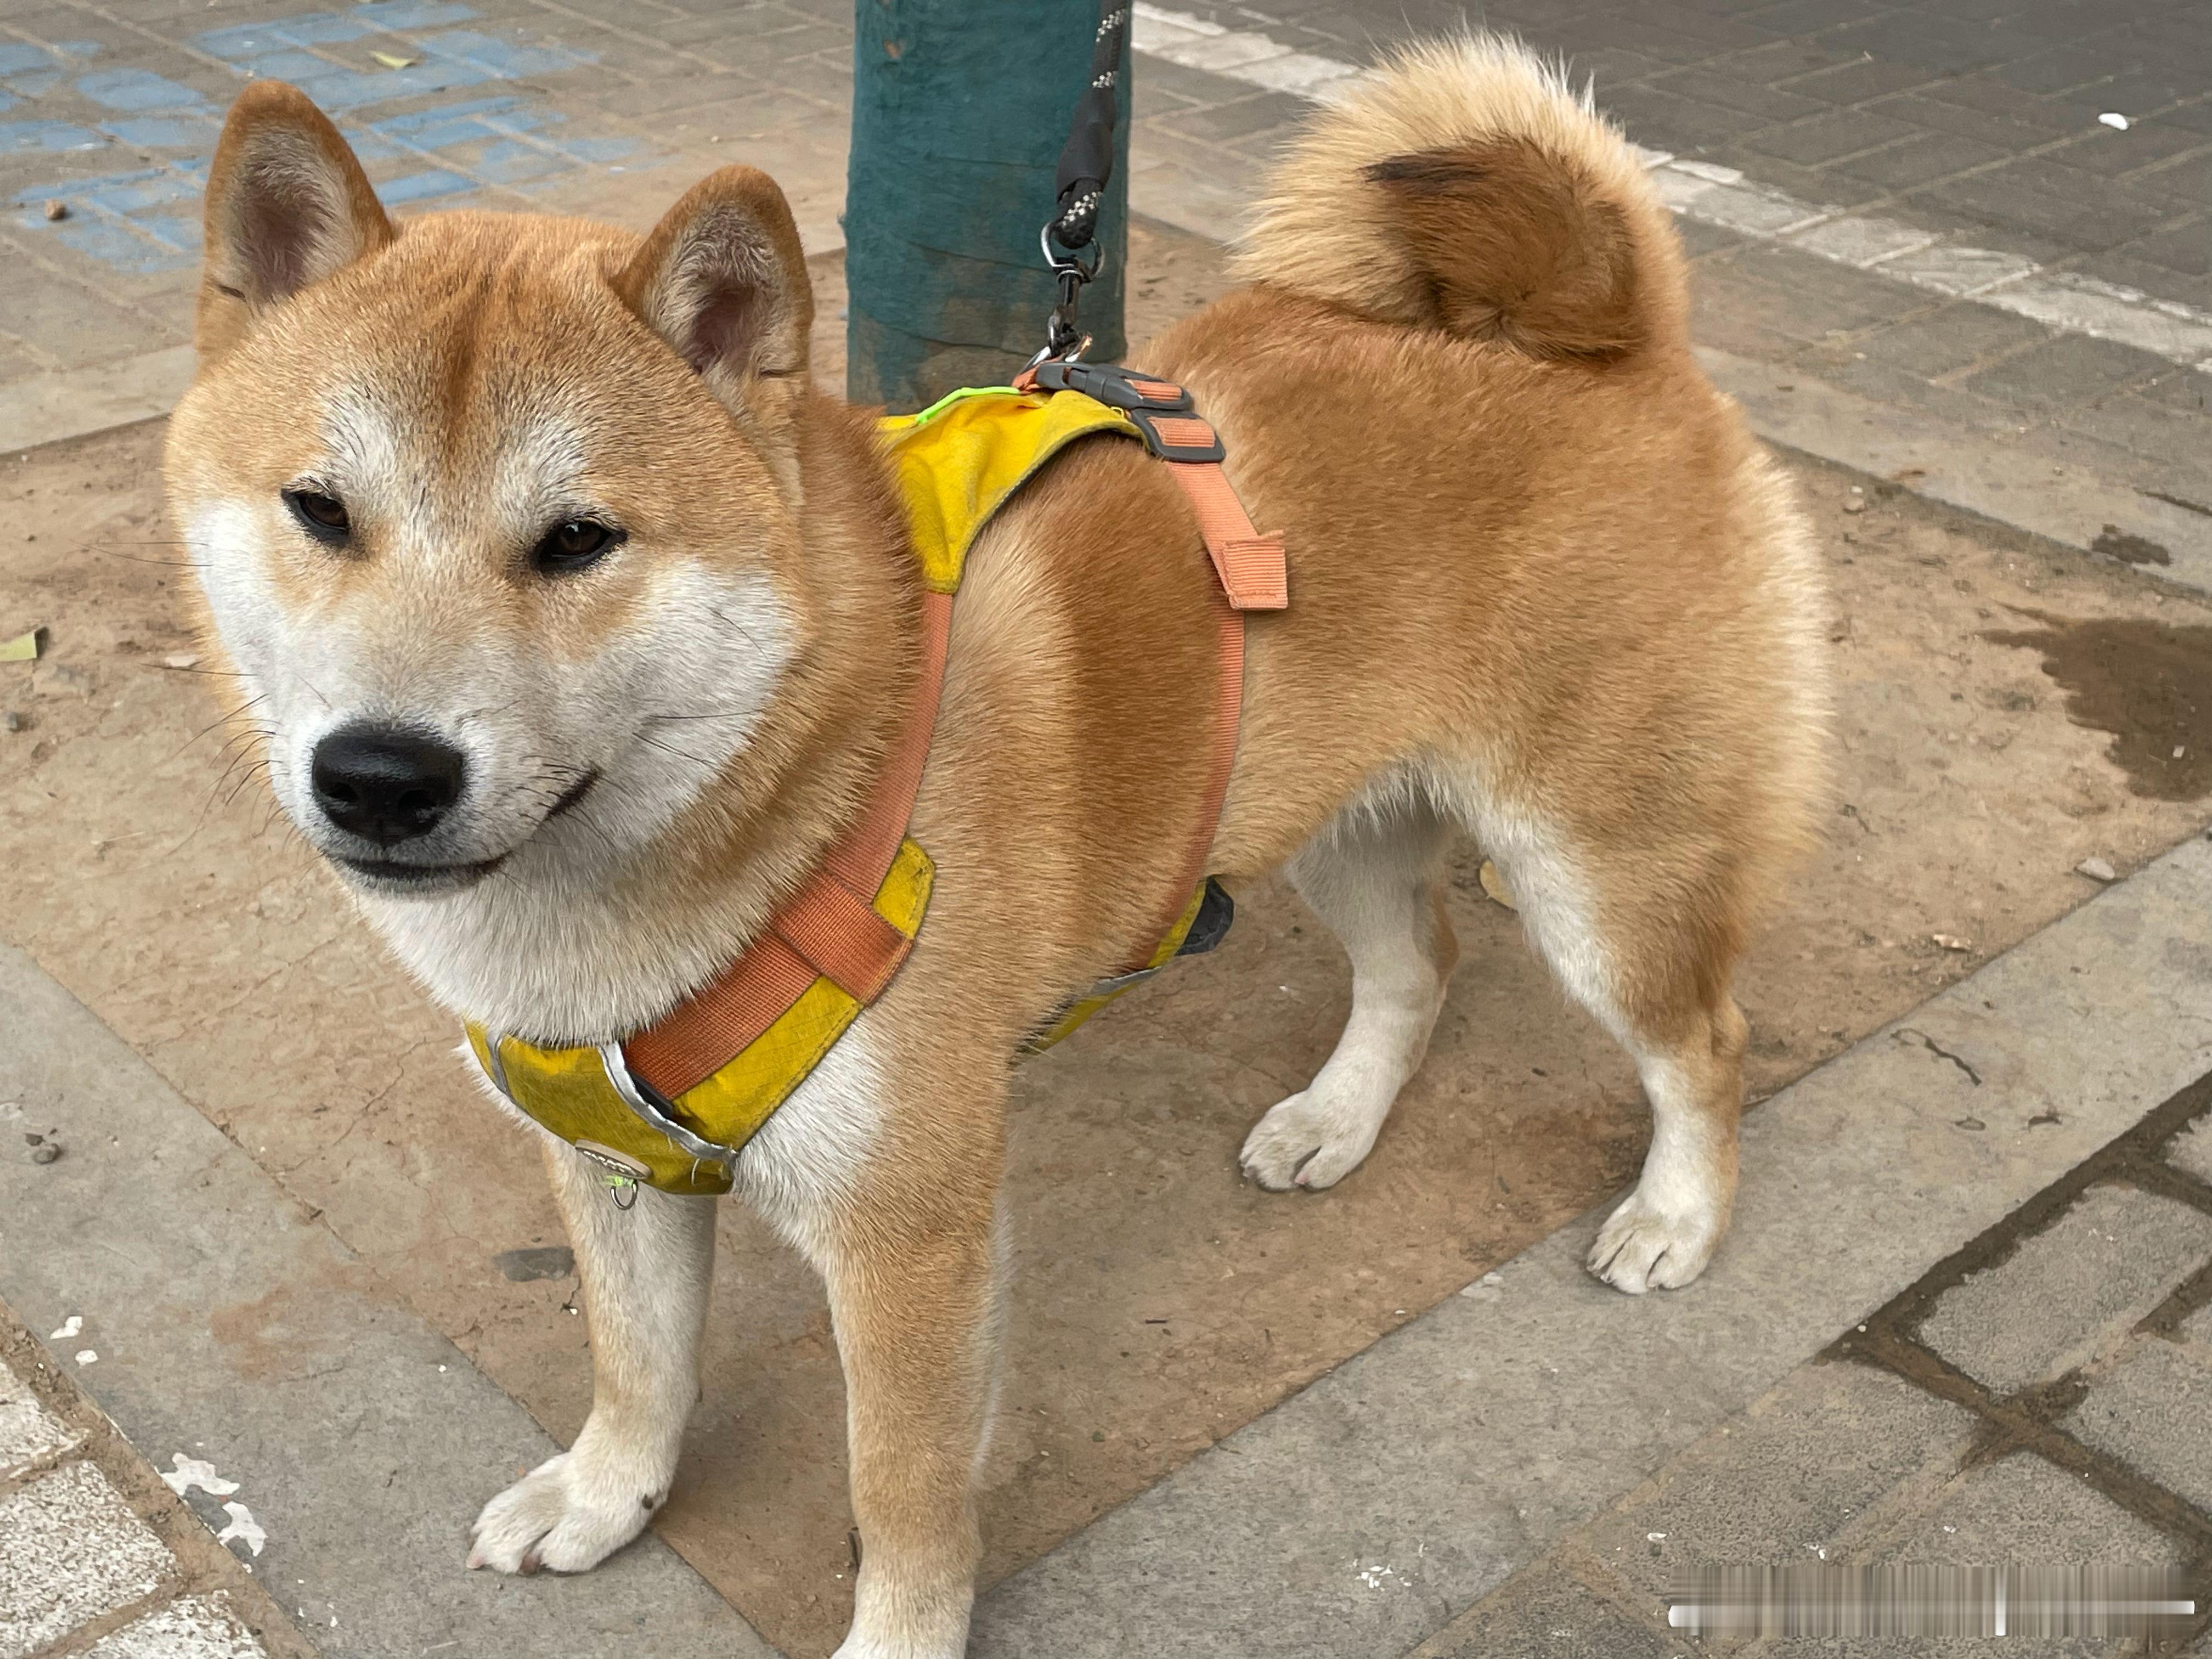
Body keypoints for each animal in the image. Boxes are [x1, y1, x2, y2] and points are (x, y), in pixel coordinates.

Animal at [166, 36, 1826, 1658]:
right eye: (320, 510)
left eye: (579, 541)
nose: (381, 775)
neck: (790, 777)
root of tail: (1605, 336)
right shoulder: (607, 1154)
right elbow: (639, 1367)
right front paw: (604, 1495)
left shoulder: (907, 1231)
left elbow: (899, 1492)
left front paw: (892, 1629)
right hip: (1324, 823)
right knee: (1419, 964)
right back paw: (1337, 1121)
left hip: (1598, 874)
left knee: (1702, 1043)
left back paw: (1676, 1217)